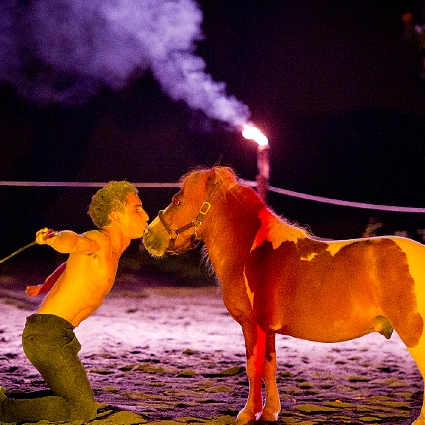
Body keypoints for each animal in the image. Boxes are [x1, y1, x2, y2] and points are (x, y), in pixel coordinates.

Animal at [142, 166, 424, 424]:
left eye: (177, 201)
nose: (148, 235)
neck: (252, 253)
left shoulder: (252, 325)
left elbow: (253, 368)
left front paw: (248, 413)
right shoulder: (268, 329)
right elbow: (270, 367)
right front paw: (270, 412)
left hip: (414, 334)